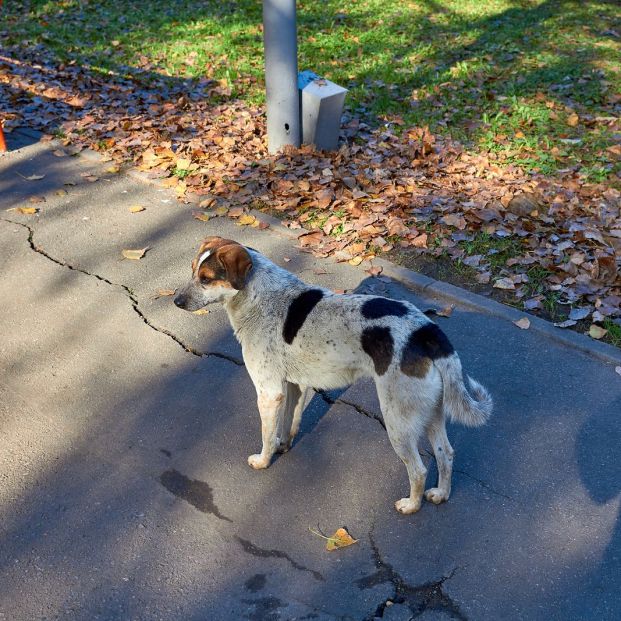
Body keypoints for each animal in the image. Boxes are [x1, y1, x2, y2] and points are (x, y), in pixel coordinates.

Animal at [173, 235, 490, 512]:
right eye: (192, 271)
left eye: (206, 278)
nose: (176, 301)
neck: (258, 294)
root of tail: (426, 330)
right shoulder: (295, 386)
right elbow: (288, 424)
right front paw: (283, 447)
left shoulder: (269, 392)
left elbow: (267, 435)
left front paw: (263, 460)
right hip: (431, 412)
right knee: (446, 454)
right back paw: (440, 494)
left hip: (397, 421)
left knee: (419, 469)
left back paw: (411, 505)